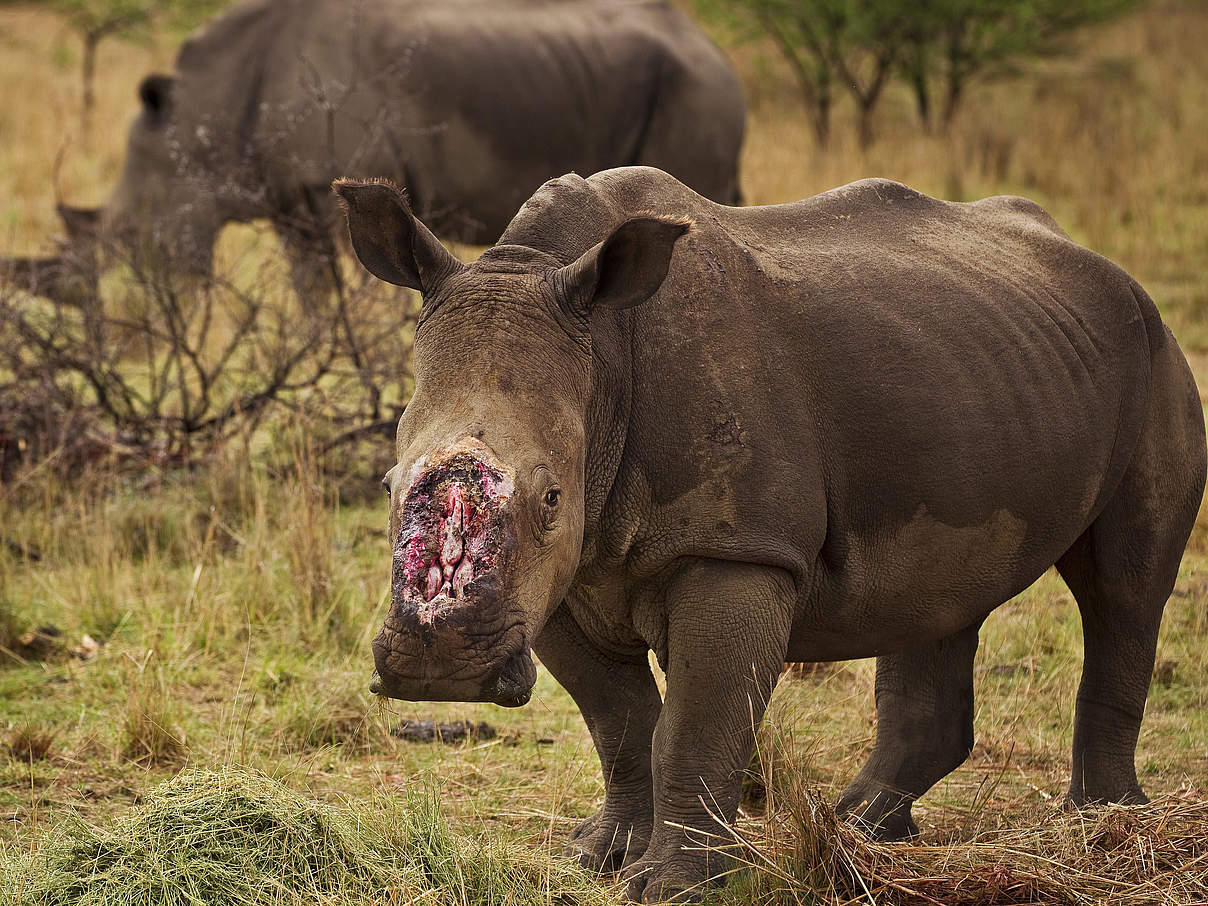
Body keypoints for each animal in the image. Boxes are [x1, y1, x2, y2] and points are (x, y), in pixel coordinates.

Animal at [2, 0, 744, 302]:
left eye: (127, 239)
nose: (129, 338)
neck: (203, 108)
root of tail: (718, 52)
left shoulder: (330, 189)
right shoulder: (293, 202)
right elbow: (313, 303)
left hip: (695, 88)